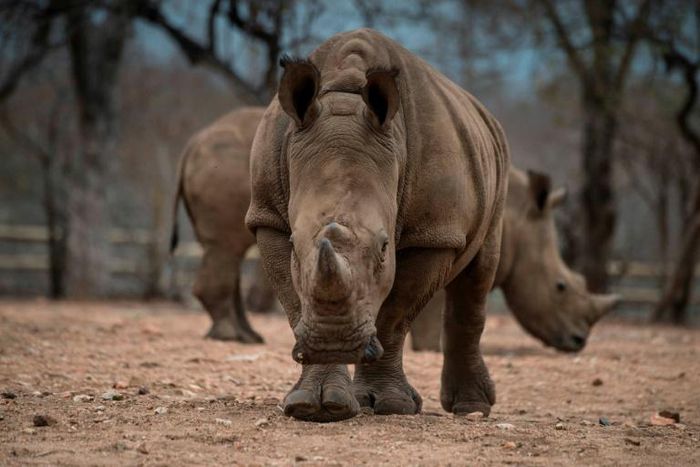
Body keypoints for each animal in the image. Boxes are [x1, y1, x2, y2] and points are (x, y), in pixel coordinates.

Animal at [245, 29, 509, 422]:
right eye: (294, 244)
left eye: (385, 247)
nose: (334, 341)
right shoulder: (268, 216)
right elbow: (295, 302)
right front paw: (314, 405)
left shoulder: (431, 233)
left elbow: (396, 314)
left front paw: (392, 406)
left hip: (496, 169)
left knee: (479, 272)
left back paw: (471, 409)